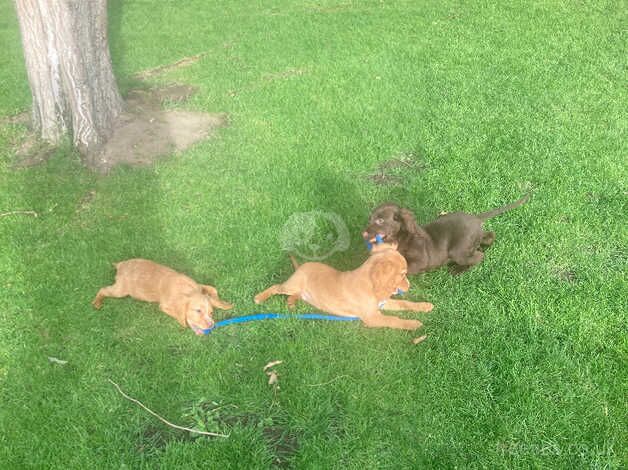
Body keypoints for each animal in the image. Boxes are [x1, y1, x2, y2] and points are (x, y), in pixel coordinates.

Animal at [92, 260, 232, 334]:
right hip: (121, 290)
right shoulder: (165, 306)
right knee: (103, 290)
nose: (212, 326)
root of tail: (120, 265)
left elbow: (212, 288)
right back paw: (97, 303)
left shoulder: (199, 285)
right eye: (198, 311)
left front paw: (225, 304)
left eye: (211, 313)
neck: (188, 290)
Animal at [254, 244, 432, 328]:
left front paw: (424, 306)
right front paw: (413, 324)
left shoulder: (382, 303)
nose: (409, 285)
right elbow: (394, 320)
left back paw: (291, 303)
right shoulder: (372, 317)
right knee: (276, 287)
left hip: (298, 290)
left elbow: (404, 303)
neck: (372, 287)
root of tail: (300, 267)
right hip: (291, 285)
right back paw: (259, 297)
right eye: (402, 274)